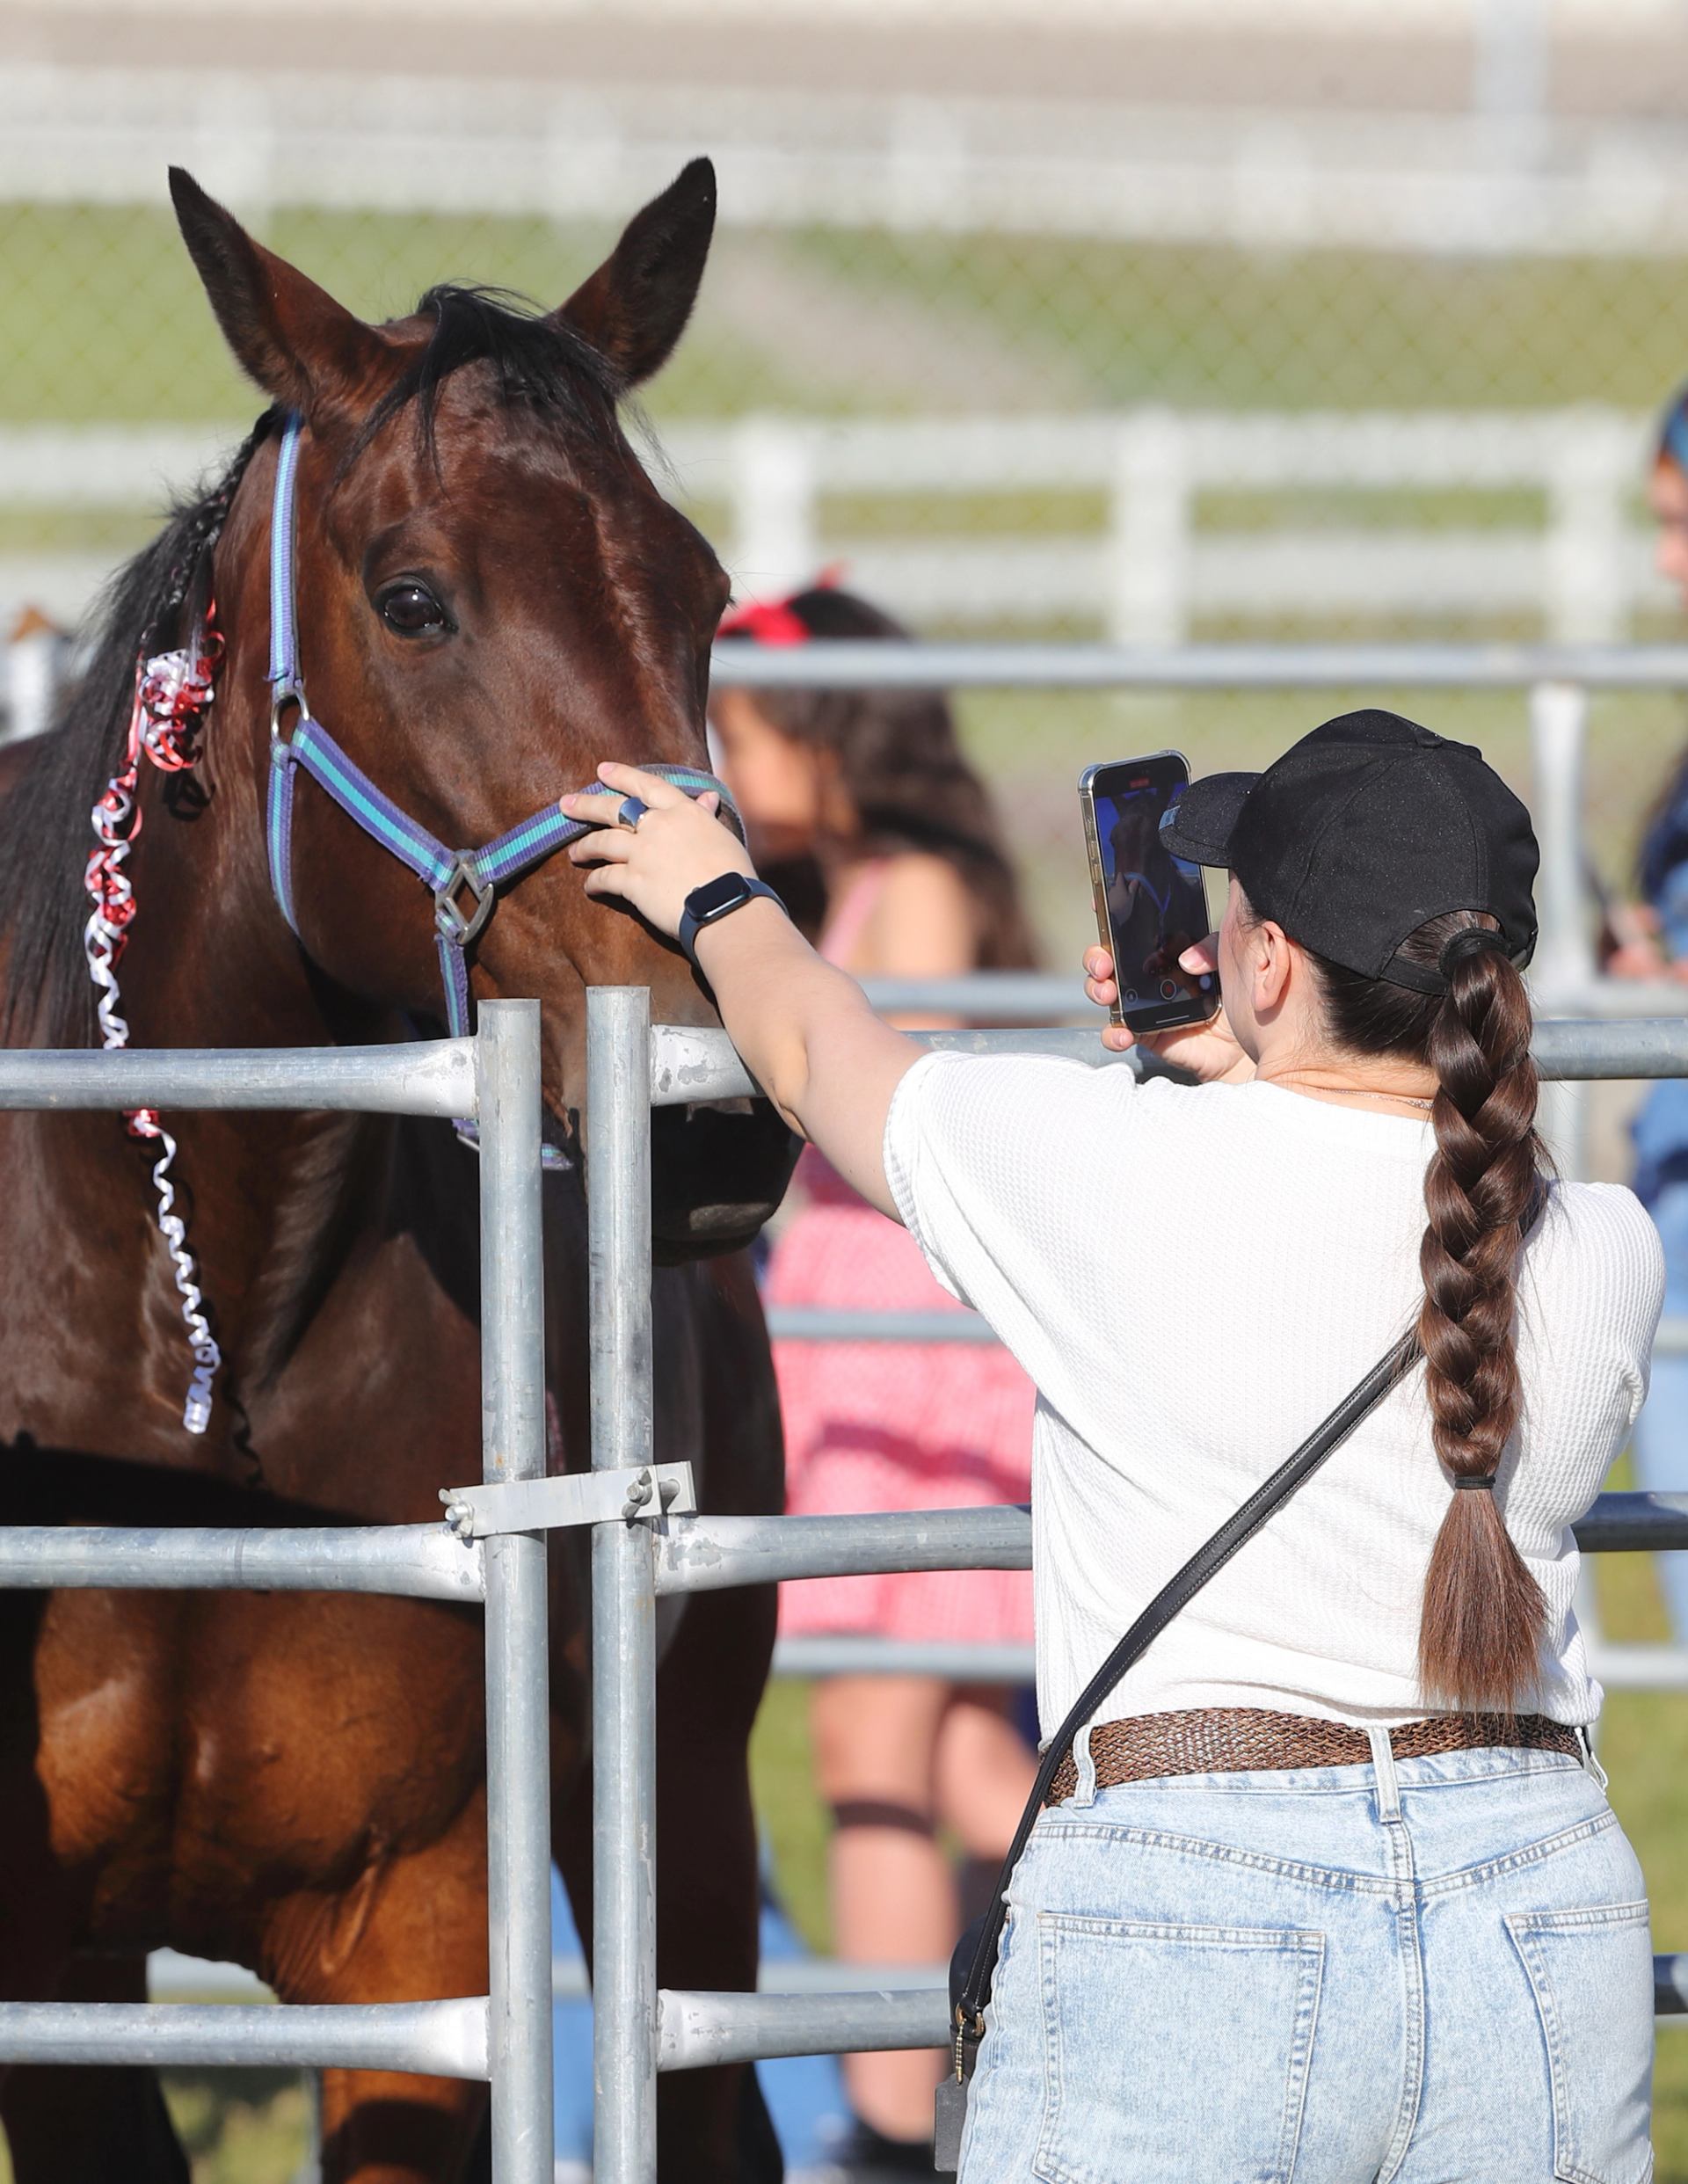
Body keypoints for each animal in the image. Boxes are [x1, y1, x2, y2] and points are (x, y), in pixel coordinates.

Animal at [0, 161, 798, 2184]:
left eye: (703, 591)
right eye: (417, 597)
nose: (721, 1113)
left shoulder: (423, 1934)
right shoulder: (52, 1976)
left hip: (687, 1815)